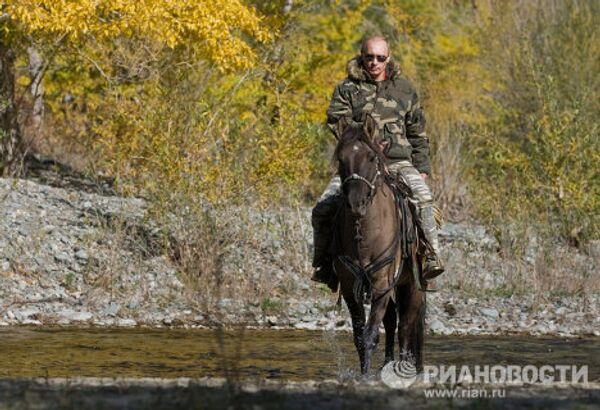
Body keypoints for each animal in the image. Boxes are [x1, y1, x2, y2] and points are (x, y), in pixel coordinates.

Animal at [332, 117, 426, 376]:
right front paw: (365, 374)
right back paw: (388, 365)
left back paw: (406, 369)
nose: (356, 203)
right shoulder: (350, 287)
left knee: (407, 326)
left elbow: (372, 333)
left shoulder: (382, 283)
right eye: (340, 158)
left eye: (372, 157)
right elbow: (359, 337)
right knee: (393, 322)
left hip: (413, 286)